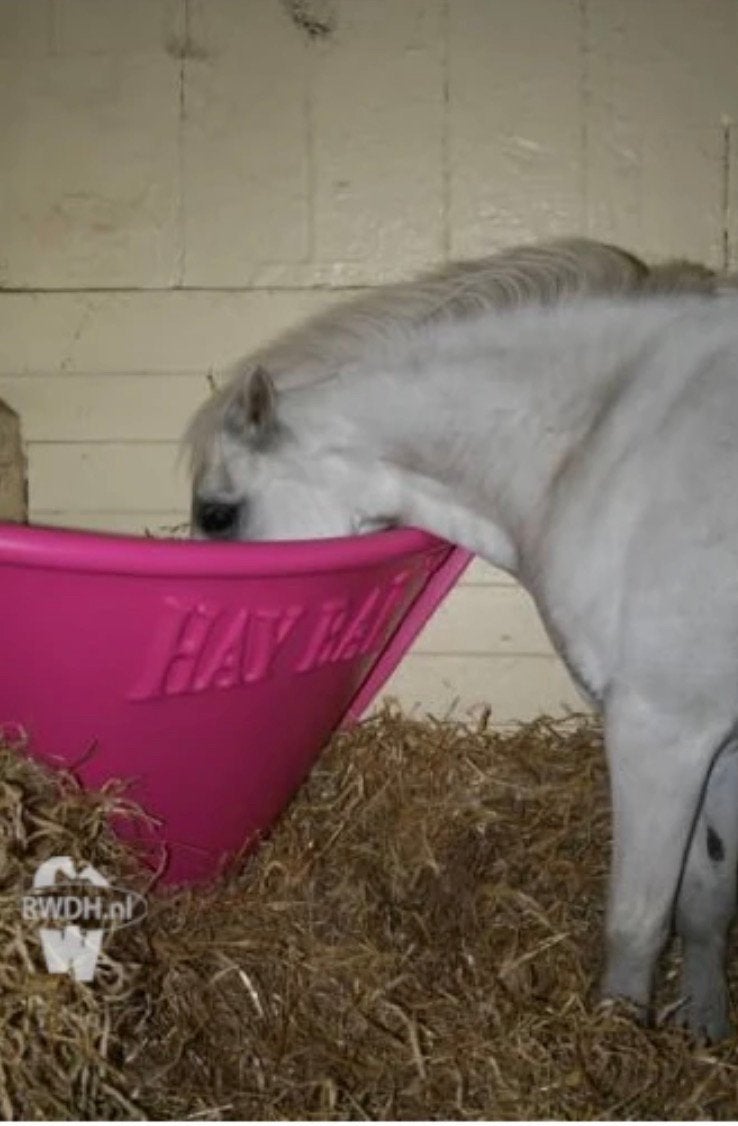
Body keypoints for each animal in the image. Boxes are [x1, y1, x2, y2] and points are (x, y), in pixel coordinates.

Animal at [184, 238, 738, 1041]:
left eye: (217, 514)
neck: (607, 442)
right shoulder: (711, 744)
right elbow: (705, 901)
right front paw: (704, 1033)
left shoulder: (661, 730)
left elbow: (636, 924)